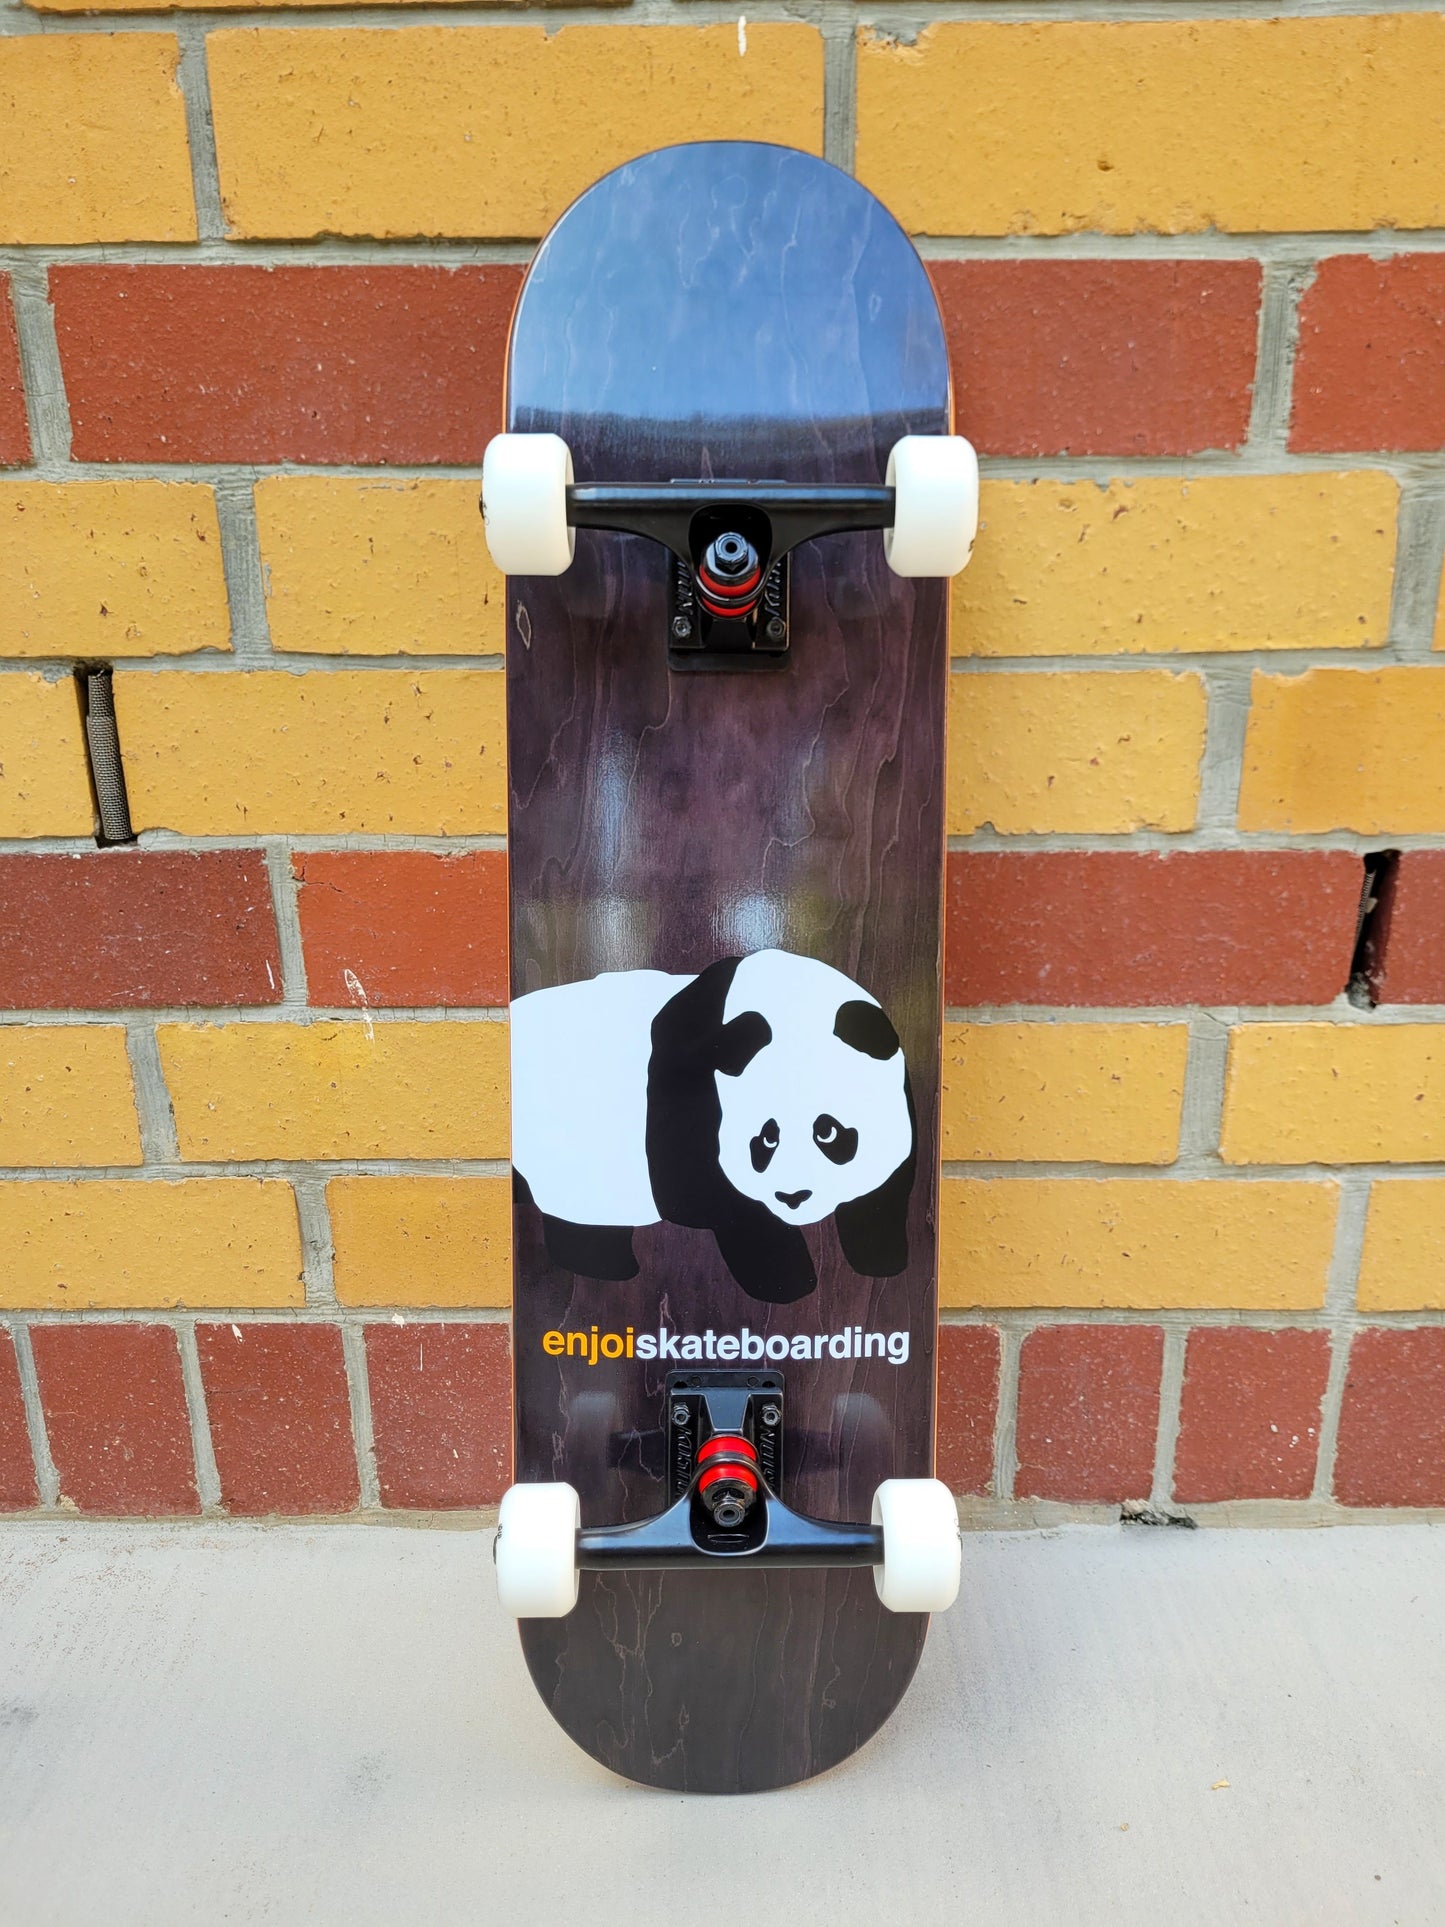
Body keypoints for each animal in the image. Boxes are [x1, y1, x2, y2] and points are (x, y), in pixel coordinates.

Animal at [509, 948, 915, 1305]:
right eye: (767, 1138)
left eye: (826, 1131)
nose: (793, 1197)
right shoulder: (690, 1095)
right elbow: (713, 1200)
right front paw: (787, 1281)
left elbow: (885, 1190)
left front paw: (881, 1257)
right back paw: (611, 1267)